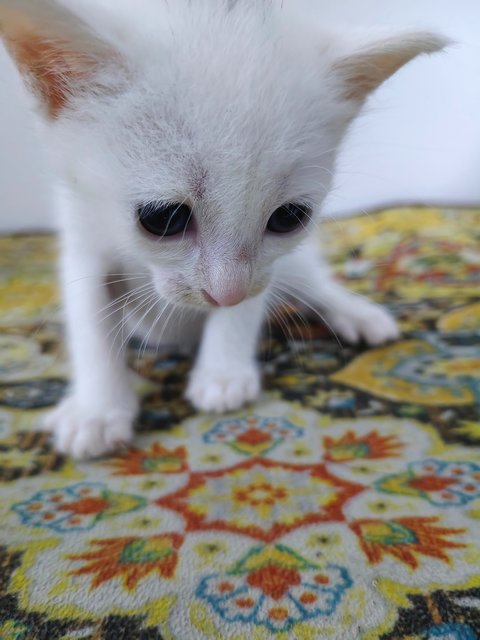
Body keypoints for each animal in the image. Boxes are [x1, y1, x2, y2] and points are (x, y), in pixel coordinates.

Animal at [1, 0, 448, 460]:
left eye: (289, 217)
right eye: (164, 219)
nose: (225, 293)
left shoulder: (263, 269)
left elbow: (249, 301)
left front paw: (222, 373)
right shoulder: (83, 237)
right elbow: (91, 322)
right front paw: (98, 410)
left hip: (295, 271)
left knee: (313, 284)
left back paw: (357, 313)